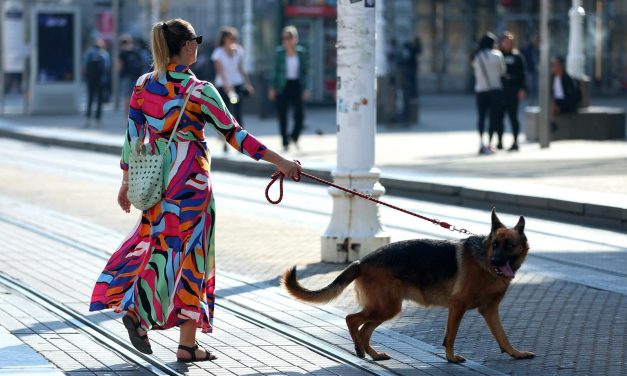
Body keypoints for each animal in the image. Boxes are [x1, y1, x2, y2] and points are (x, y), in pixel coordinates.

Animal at [284, 210, 536, 362]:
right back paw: (359, 349)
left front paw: (515, 353)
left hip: (387, 308)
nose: (495, 261)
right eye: (495, 245)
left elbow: (503, 336)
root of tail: (361, 261)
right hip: (386, 307)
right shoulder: (458, 306)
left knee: (364, 329)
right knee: (352, 320)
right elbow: (451, 335)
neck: (483, 260)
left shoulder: (489, 310)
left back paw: (372, 354)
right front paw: (451, 358)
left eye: (509, 245)